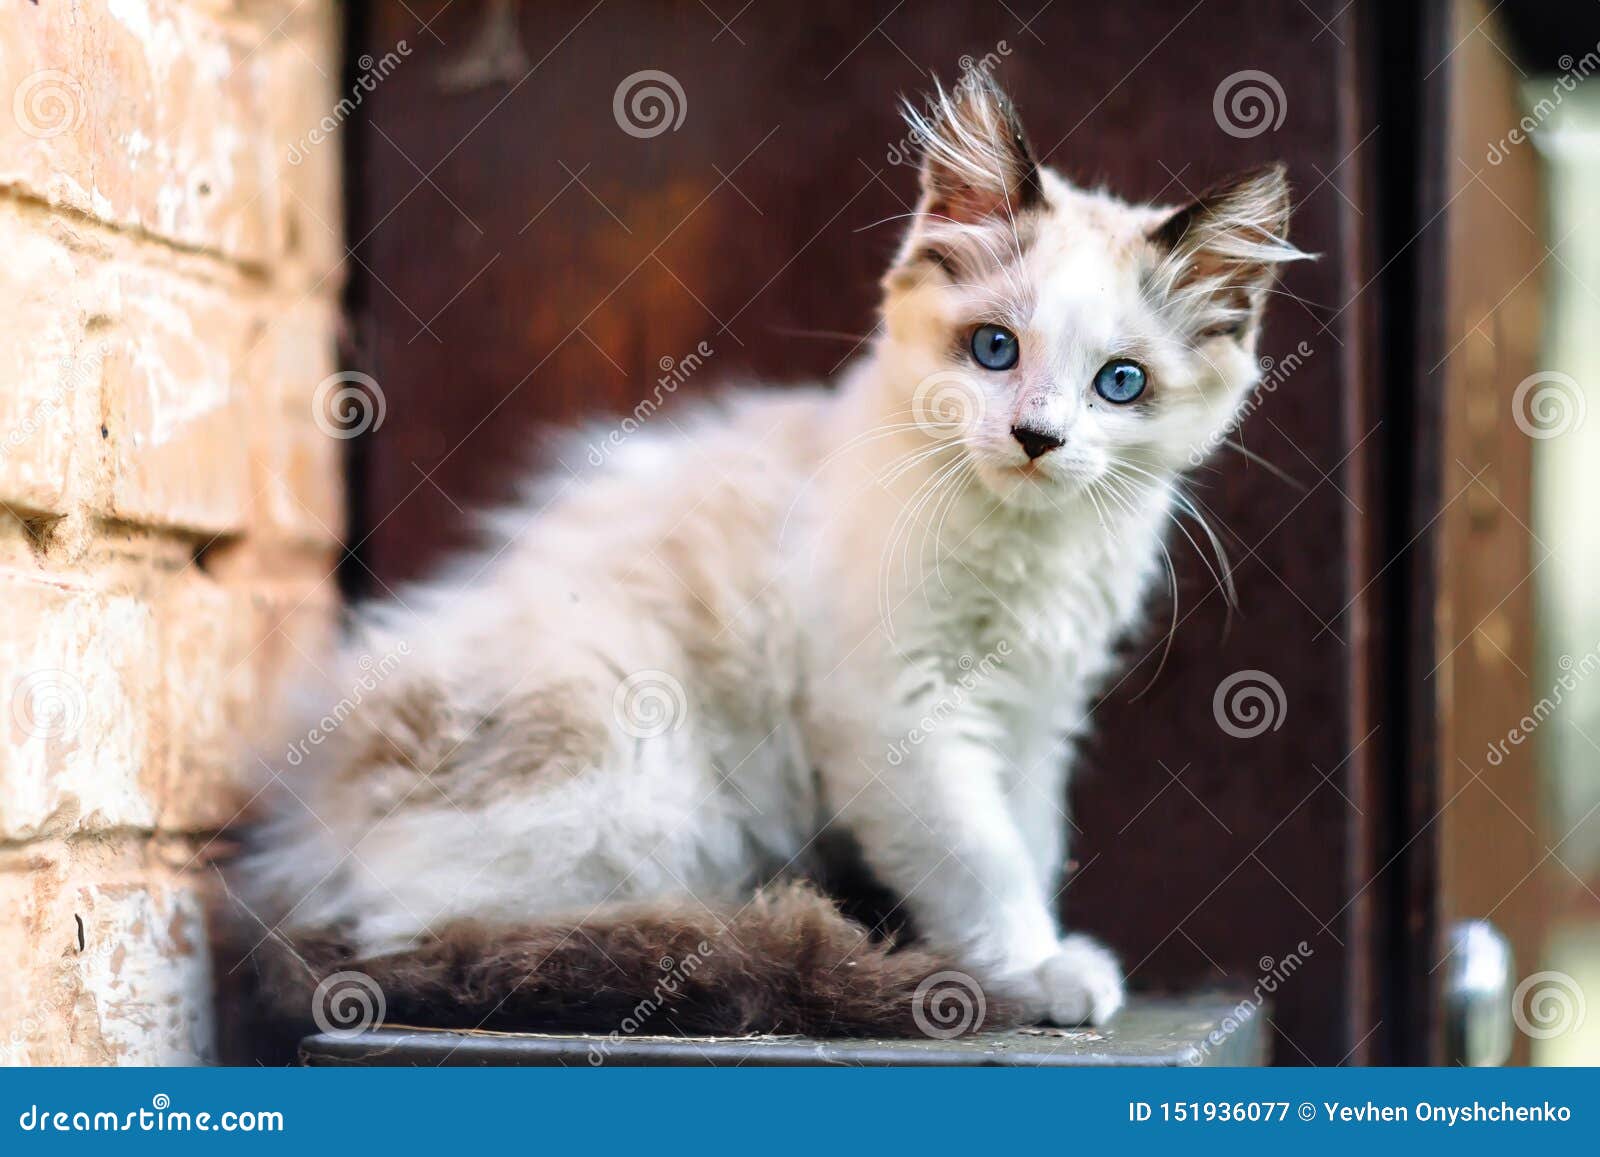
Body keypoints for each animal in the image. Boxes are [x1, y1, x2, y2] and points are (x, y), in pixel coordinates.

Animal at [240, 81, 1312, 1043]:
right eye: (994, 349)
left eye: (1119, 384)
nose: (1037, 438)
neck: (1027, 552)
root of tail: (308, 832)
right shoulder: (896, 706)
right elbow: (982, 853)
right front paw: (1032, 965)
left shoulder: (1037, 713)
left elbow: (1031, 836)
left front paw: (1043, 952)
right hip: (641, 770)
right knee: (422, 920)